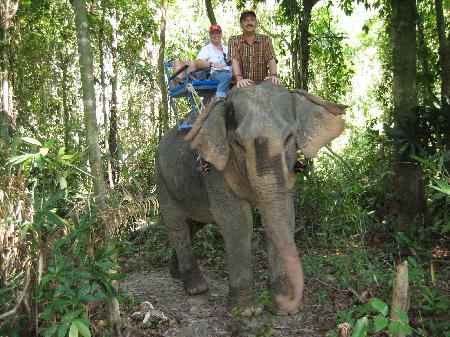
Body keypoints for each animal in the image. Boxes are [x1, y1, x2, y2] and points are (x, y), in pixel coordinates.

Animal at [155, 80, 344, 314]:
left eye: (289, 138)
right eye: (237, 143)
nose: (290, 301)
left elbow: (285, 215)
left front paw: (279, 307)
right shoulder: (216, 170)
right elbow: (239, 222)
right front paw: (245, 310)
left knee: (194, 225)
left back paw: (176, 272)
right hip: (161, 179)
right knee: (177, 227)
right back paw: (196, 287)